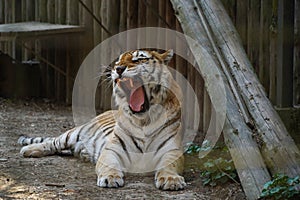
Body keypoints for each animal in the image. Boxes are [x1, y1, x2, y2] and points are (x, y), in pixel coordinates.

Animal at [18, 49, 185, 190]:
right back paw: (29, 150)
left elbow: (169, 166)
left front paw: (171, 180)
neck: (144, 120)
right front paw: (110, 177)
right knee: (53, 142)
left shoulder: (172, 150)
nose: (118, 69)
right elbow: (109, 164)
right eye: (118, 61)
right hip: (73, 133)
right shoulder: (112, 149)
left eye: (138, 59)